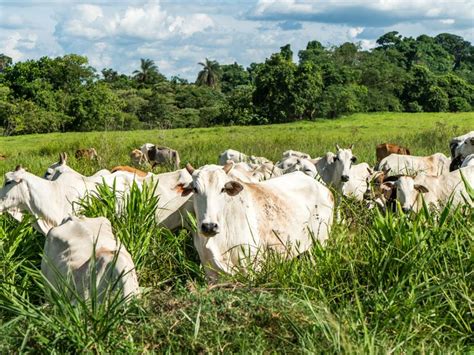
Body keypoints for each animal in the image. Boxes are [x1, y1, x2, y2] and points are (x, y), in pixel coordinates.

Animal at [178, 164, 334, 284]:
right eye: (195, 189)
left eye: (222, 189)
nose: (209, 226)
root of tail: (322, 187)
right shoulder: (210, 272)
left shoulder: (252, 268)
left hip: (321, 242)